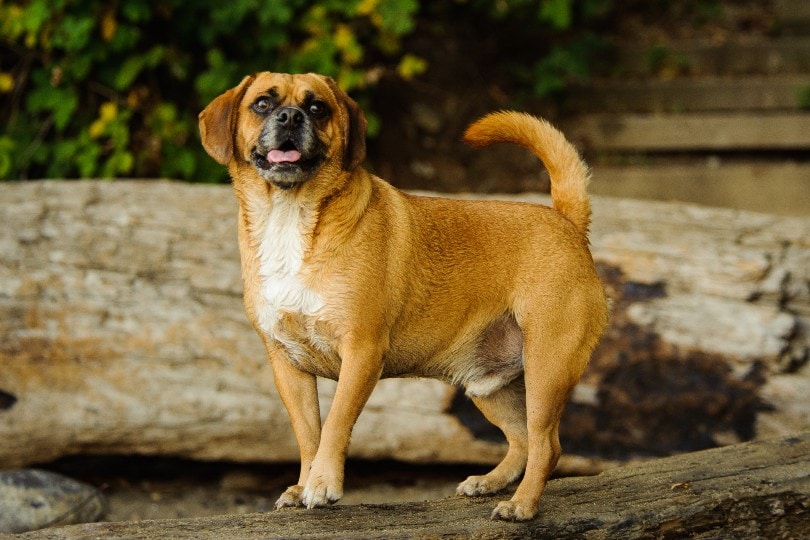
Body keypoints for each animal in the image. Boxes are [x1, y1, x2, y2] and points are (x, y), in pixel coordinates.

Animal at [197, 70, 608, 520]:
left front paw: (322, 485)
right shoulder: (288, 365)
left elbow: (335, 425)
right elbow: (309, 434)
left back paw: (521, 505)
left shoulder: (361, 353)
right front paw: (304, 484)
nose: (289, 117)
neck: (291, 215)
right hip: (488, 384)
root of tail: (567, 222)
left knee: (546, 444)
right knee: (522, 441)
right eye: (262, 104)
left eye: (317, 108)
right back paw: (490, 482)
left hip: (545, 371)